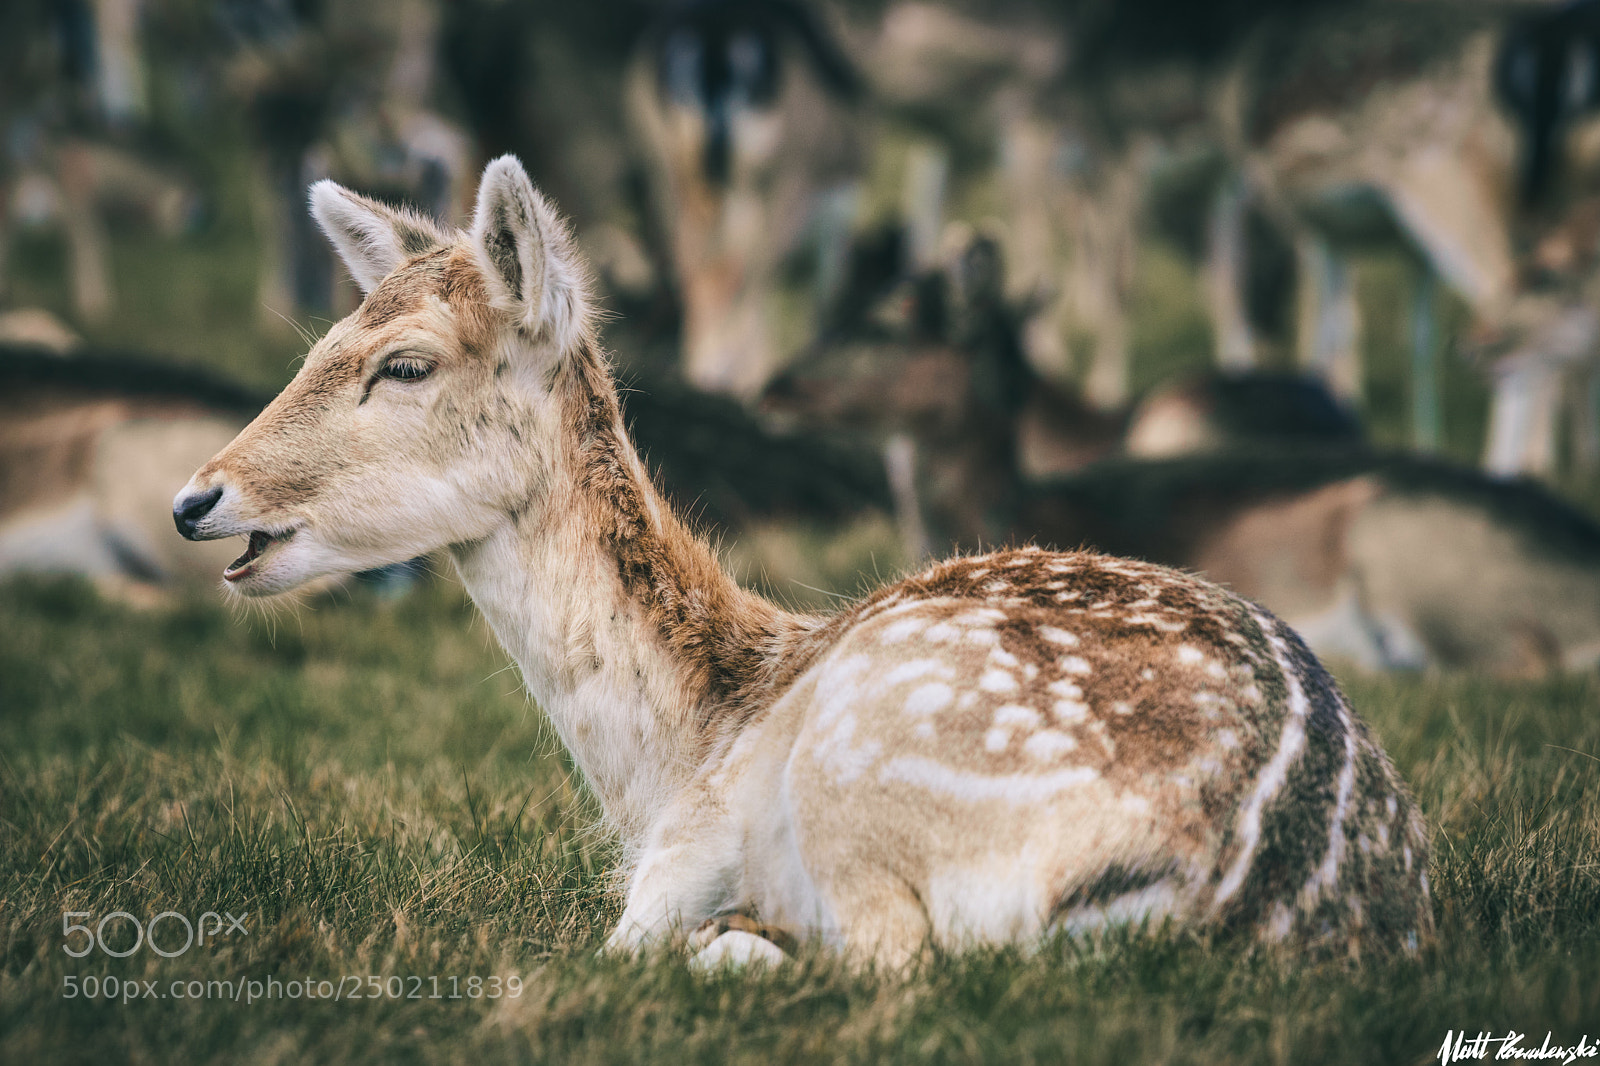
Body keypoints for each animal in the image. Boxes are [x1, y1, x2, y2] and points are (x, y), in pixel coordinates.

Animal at [173, 157, 1431, 969]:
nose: (195, 498)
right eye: (322, 341)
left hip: (862, 771)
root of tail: (1238, 894)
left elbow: (613, 951)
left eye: (406, 363)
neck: (677, 748)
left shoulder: (678, 855)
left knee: (879, 960)